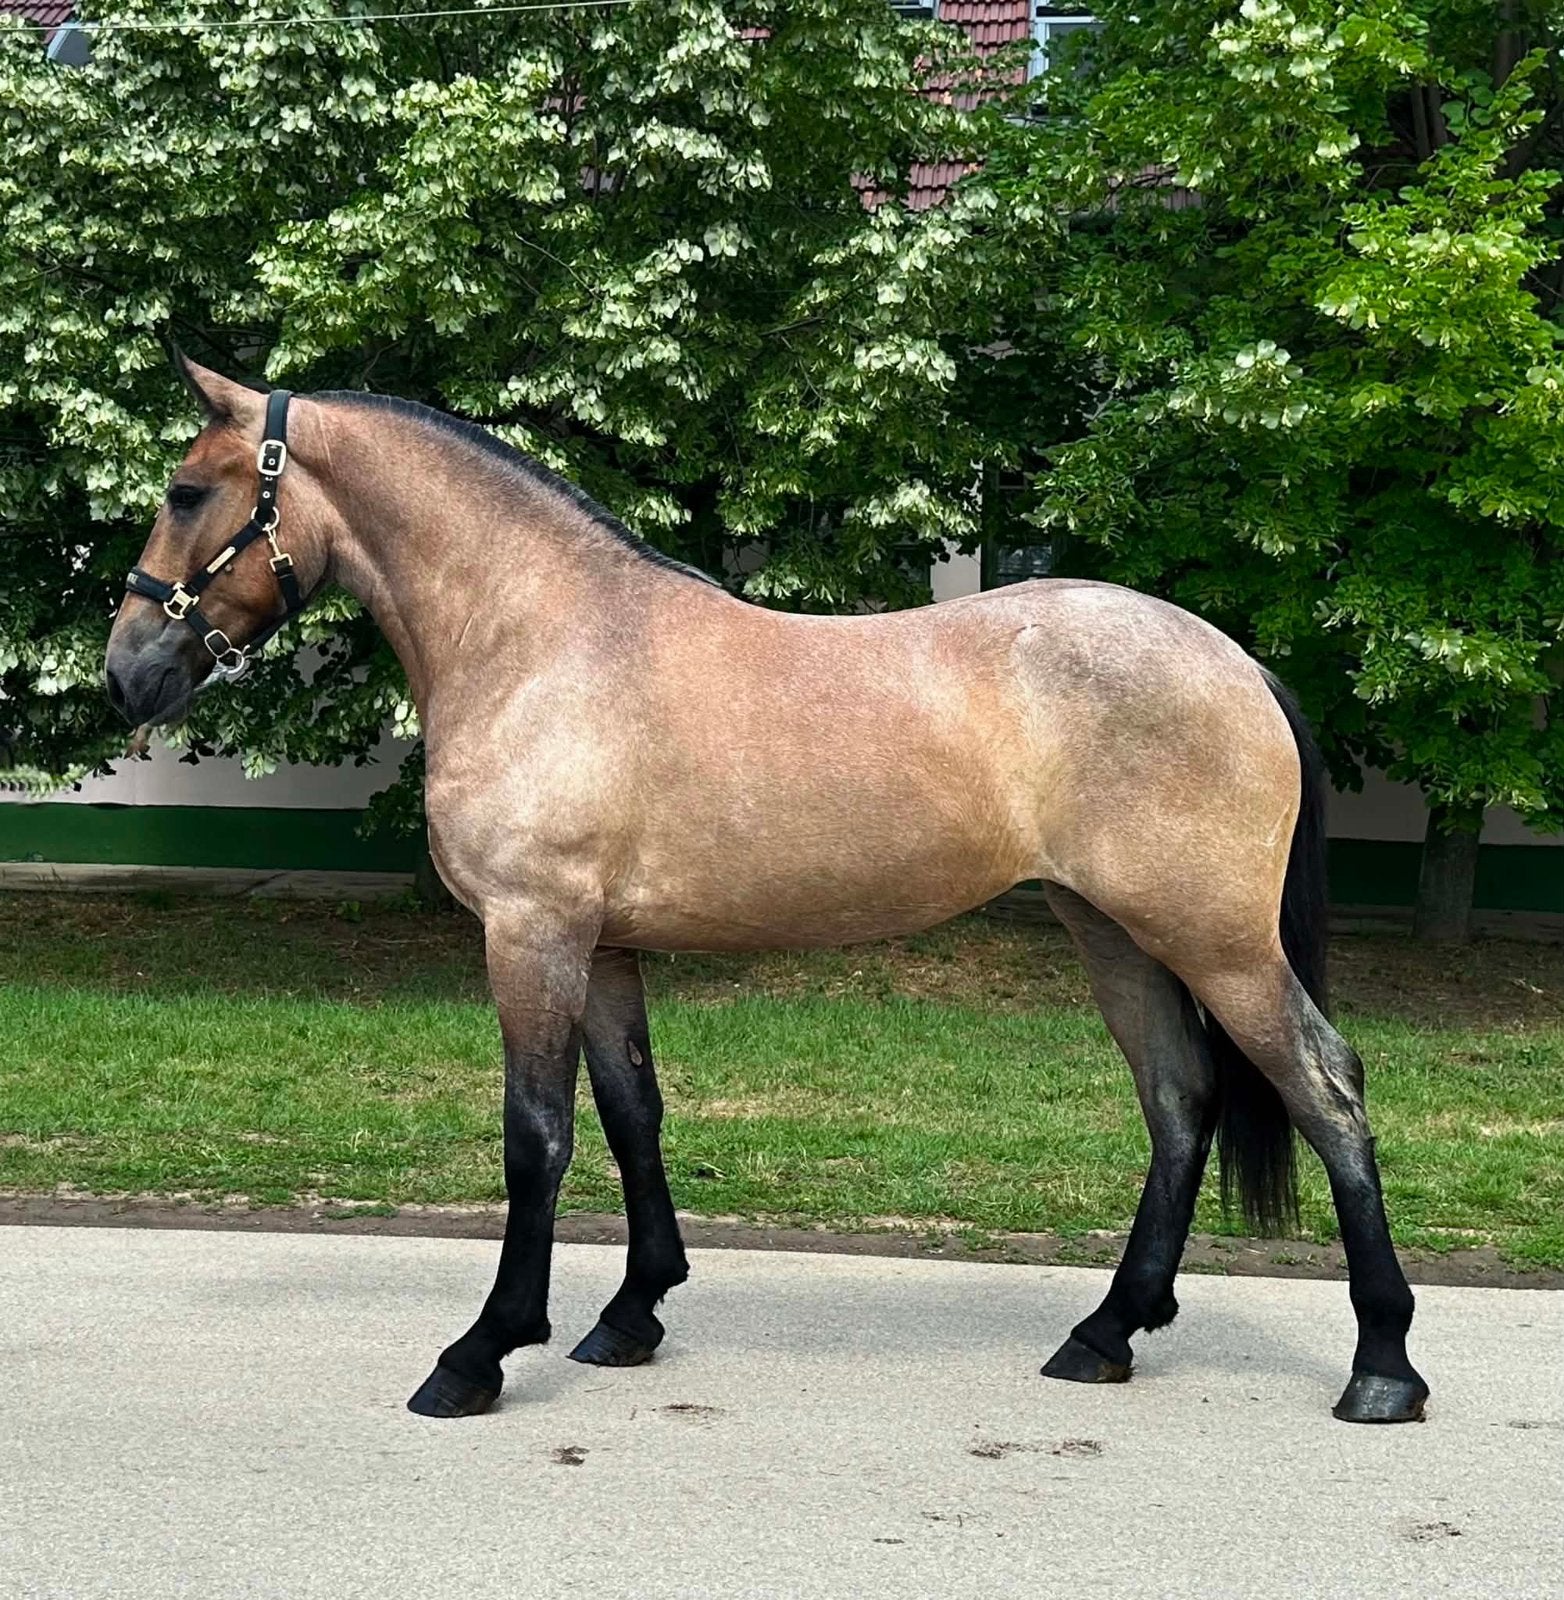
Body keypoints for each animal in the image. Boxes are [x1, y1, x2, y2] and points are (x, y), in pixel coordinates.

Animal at [103, 356, 1428, 1425]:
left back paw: (1381, 1367)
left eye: (186, 491)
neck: (543, 639)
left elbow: (536, 1136)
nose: (125, 676)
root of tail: (1233, 658)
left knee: (1323, 1088)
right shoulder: (602, 946)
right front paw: (631, 1313)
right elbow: (632, 1113)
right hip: (1112, 930)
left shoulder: (533, 933)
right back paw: (1106, 1333)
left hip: (1215, 940)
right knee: (1178, 1099)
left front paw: (481, 1352)